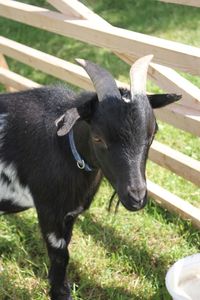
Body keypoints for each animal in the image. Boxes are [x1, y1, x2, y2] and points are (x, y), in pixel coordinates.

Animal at [0, 55, 180, 298]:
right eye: (97, 138)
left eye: (152, 134)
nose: (136, 197)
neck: (62, 147)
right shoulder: (48, 209)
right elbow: (60, 255)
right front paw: (60, 293)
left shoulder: (70, 213)